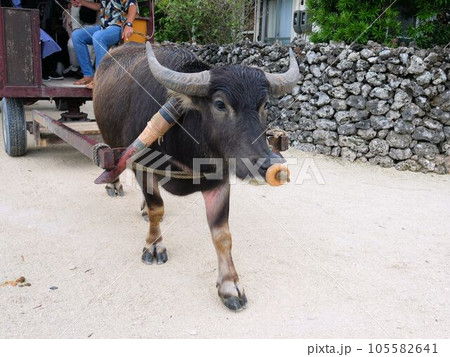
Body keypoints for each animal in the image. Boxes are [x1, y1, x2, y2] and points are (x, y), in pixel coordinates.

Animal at [93, 41, 298, 308]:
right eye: (220, 104)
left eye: (264, 105)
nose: (270, 165)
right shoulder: (143, 166)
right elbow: (157, 207)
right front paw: (154, 246)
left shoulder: (219, 181)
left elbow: (222, 234)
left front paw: (230, 285)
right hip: (109, 138)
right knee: (113, 162)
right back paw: (114, 185)